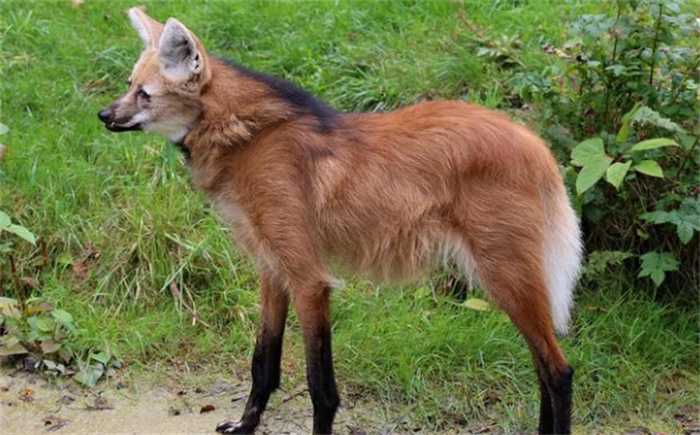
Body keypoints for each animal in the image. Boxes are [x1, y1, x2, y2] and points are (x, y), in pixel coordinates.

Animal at [98, 7, 582, 435]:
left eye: (145, 94)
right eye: (129, 85)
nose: (104, 115)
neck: (246, 137)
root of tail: (533, 142)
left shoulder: (309, 279)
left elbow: (319, 386)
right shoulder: (273, 269)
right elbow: (263, 361)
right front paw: (245, 425)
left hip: (503, 272)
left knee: (558, 370)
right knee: (541, 365)